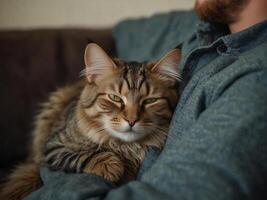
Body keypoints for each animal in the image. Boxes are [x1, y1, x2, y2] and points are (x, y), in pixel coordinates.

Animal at [0, 43, 182, 199]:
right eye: (115, 98)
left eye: (150, 101)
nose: (132, 120)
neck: (124, 147)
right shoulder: (54, 148)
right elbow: (85, 154)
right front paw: (111, 166)